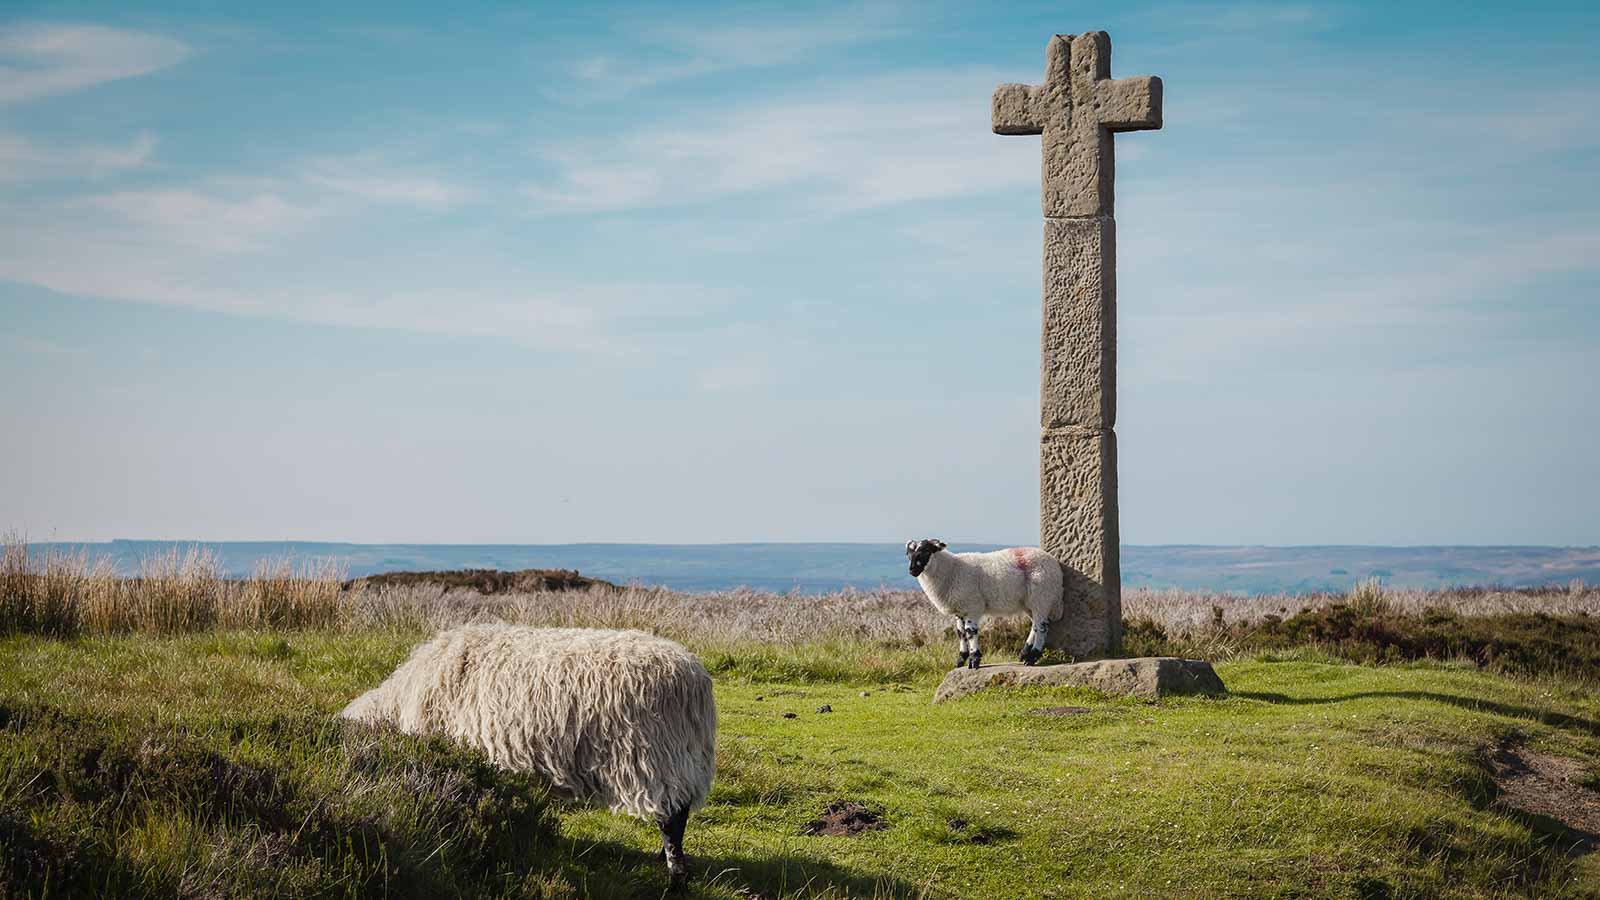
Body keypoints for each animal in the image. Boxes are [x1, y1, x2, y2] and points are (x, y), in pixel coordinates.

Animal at [342, 624, 720, 883]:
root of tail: (694, 681)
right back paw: (662, 859)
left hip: (654, 755)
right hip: (683, 756)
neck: (398, 702)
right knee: (678, 809)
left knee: (672, 818)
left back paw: (675, 877)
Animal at [902, 538, 1062, 666]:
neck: (951, 569)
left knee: (1041, 627)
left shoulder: (972, 606)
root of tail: (1053, 562)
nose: (912, 570)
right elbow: (961, 633)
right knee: (1035, 625)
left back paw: (1032, 657)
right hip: (1029, 602)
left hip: (1041, 596)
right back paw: (1024, 653)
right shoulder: (959, 609)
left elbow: (970, 632)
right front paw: (961, 660)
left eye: (926, 551)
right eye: (908, 554)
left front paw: (974, 660)